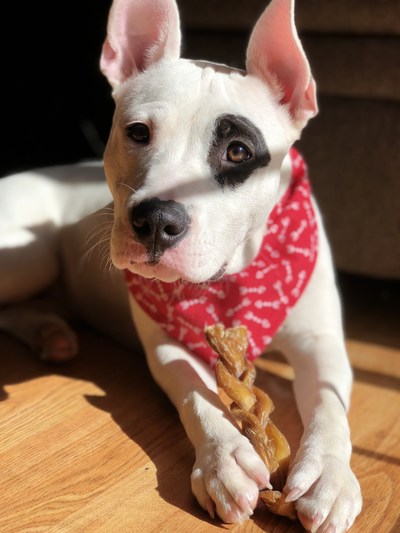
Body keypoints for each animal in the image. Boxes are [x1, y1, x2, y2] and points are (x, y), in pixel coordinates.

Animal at [0, 0, 362, 528]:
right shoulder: (166, 344)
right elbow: (195, 392)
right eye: (137, 133)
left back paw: (52, 332)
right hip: (31, 258)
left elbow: (329, 407)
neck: (237, 275)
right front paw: (225, 460)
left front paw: (328, 474)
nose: (155, 221)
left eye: (238, 151)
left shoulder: (322, 341)